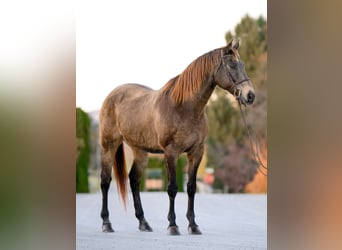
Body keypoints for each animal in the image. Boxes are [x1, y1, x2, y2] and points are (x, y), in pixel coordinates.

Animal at [98, 38, 254, 234]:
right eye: (232, 64)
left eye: (242, 64)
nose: (250, 95)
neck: (185, 107)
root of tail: (111, 96)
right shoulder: (171, 152)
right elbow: (172, 188)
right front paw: (173, 225)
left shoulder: (196, 152)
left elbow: (191, 188)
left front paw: (193, 225)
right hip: (108, 146)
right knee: (105, 181)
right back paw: (106, 223)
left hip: (140, 150)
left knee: (134, 180)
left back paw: (144, 223)